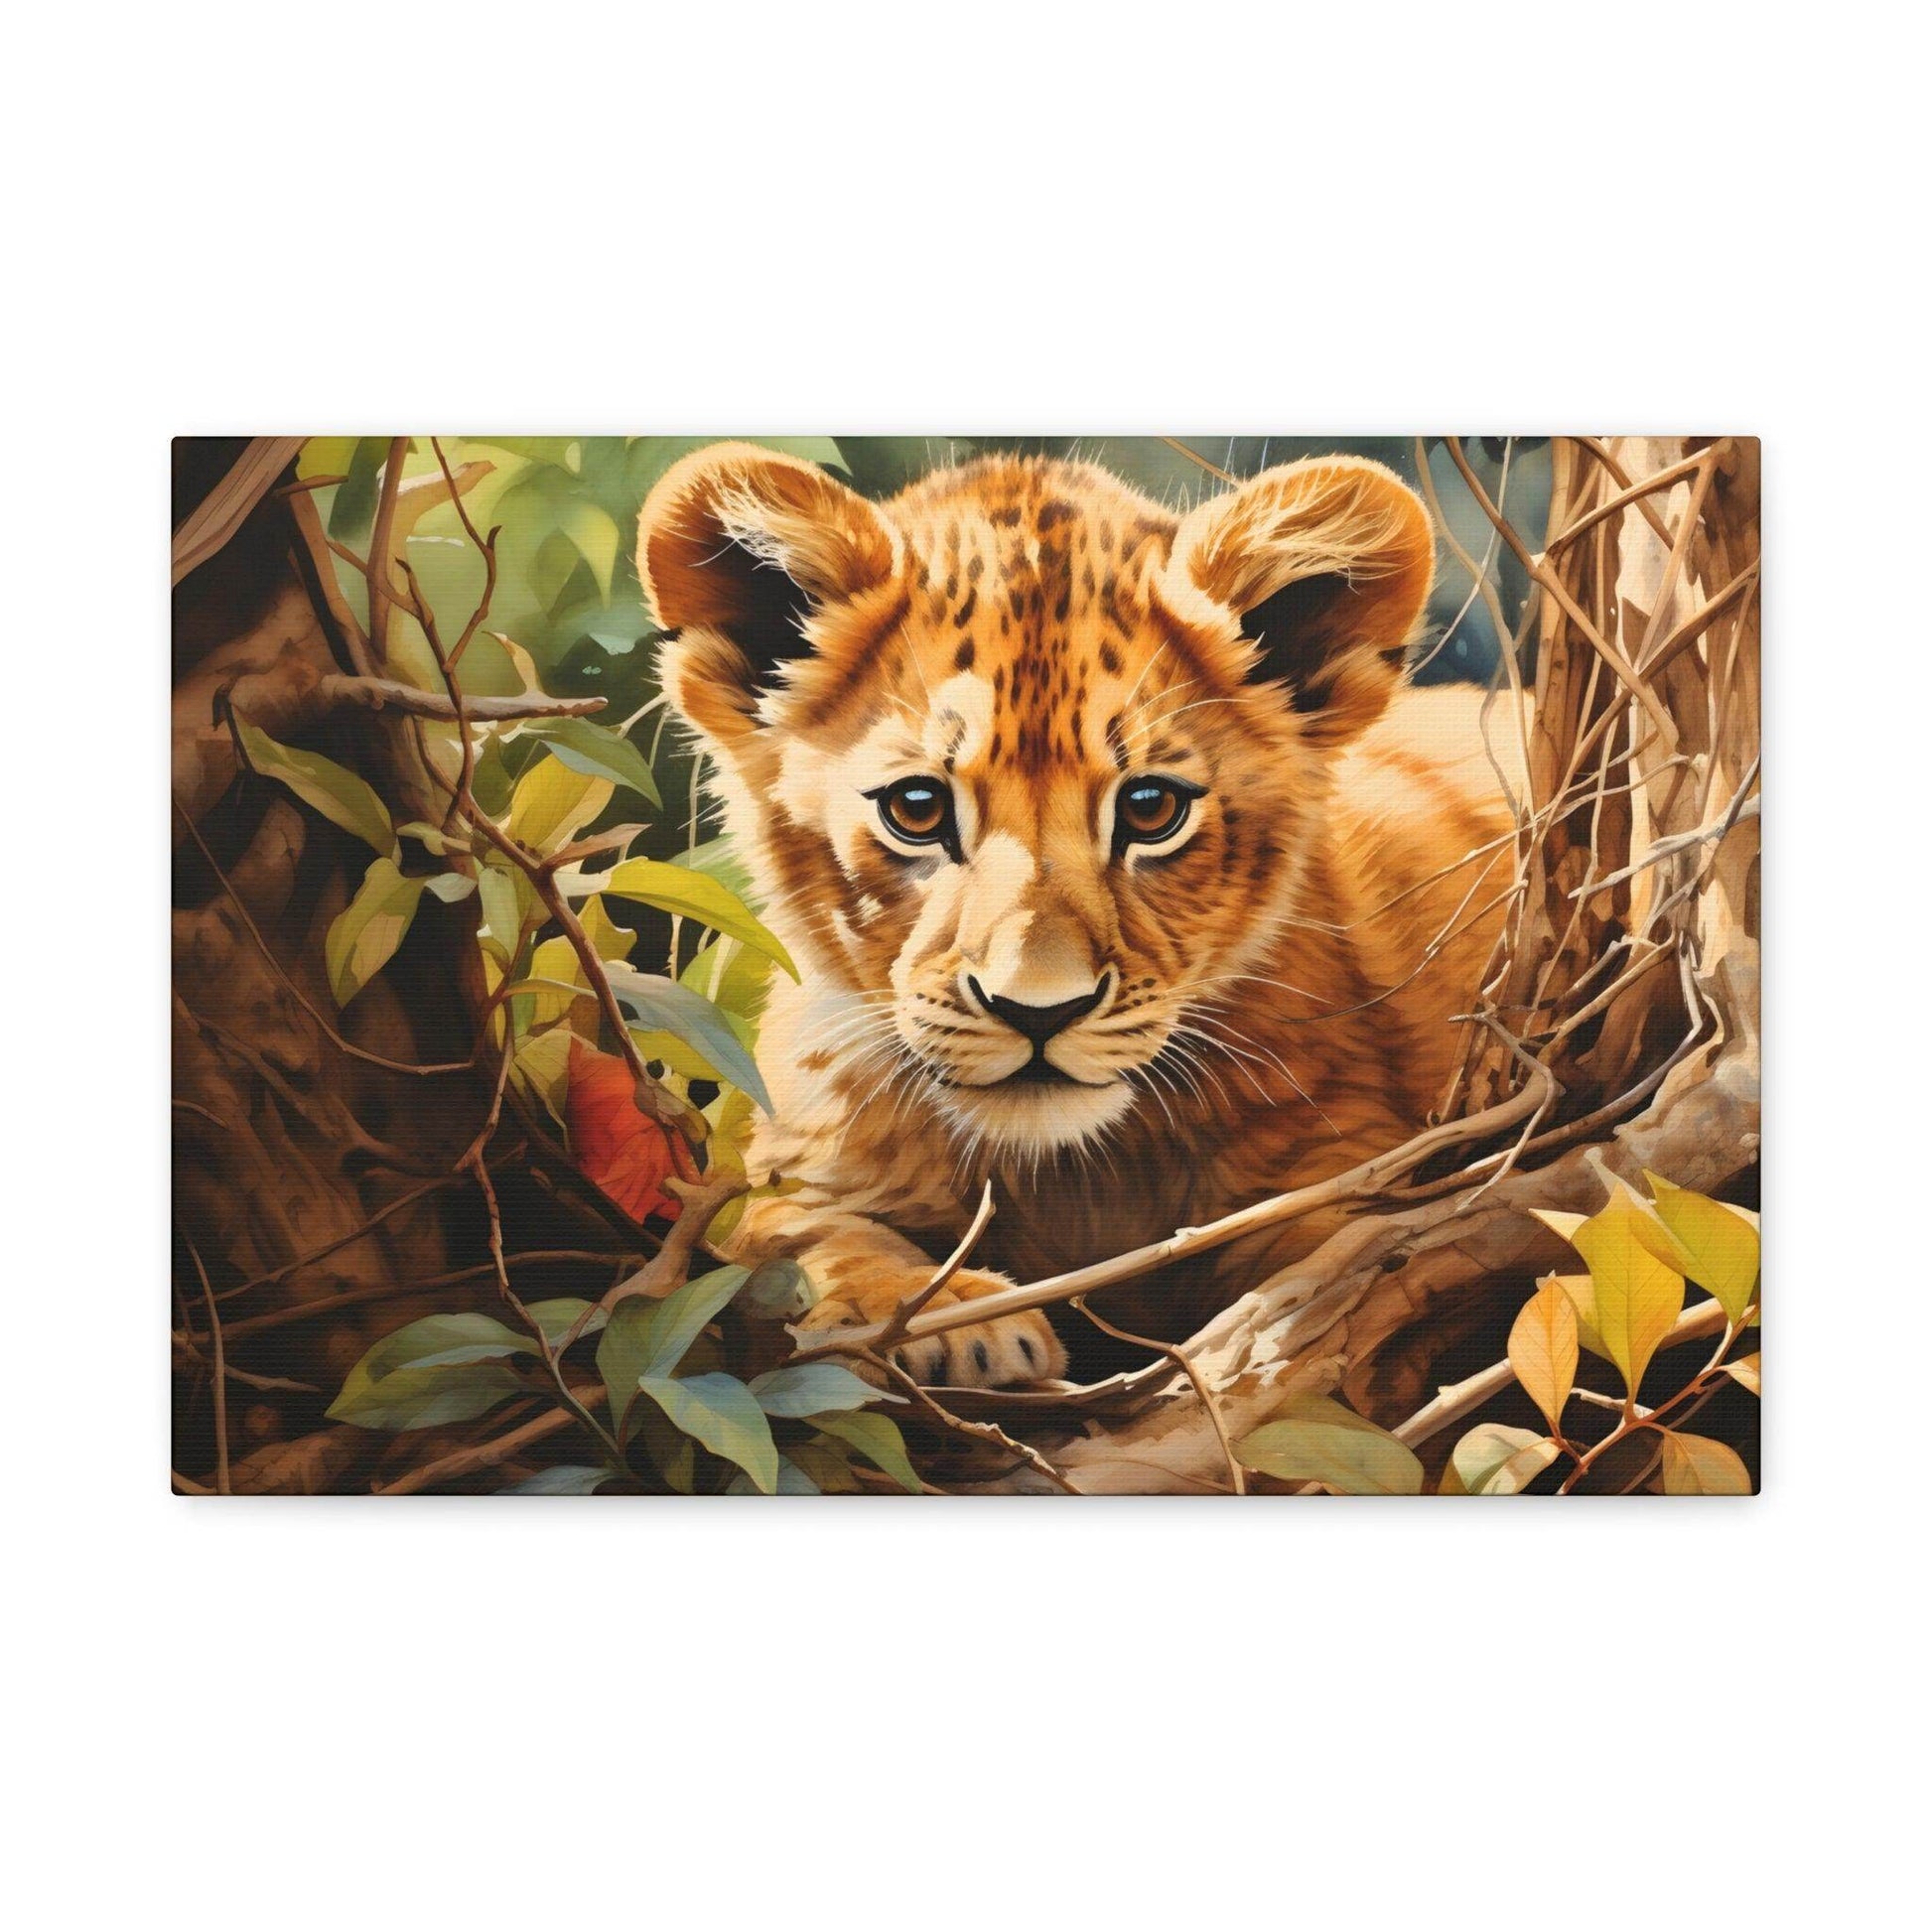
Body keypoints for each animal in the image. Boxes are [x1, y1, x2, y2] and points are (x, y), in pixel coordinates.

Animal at [637, 444, 1523, 1386]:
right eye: (916, 807)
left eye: (1150, 809)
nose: (1038, 1011)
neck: (1071, 1177)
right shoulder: (793, 1170)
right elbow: (790, 1234)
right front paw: (945, 1319)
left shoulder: (1348, 1161)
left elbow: (1353, 1256)